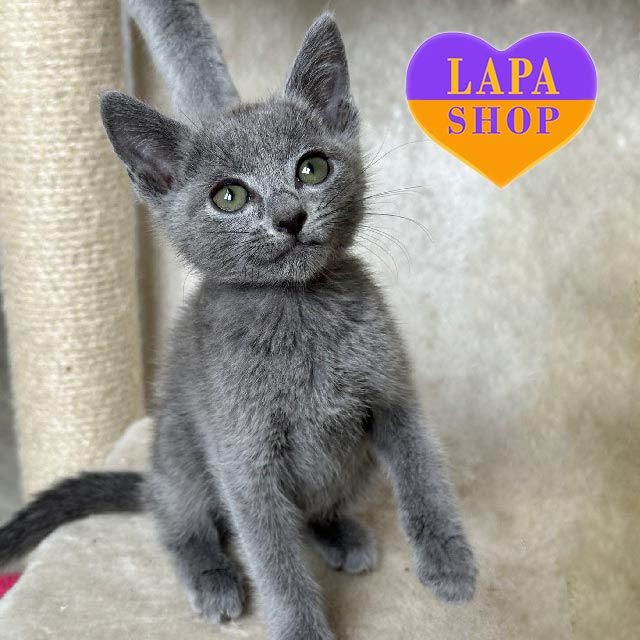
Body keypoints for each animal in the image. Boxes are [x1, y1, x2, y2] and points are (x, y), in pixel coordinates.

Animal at [0, 2, 476, 639]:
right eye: (229, 197)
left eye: (312, 168)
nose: (290, 216)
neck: (296, 311)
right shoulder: (241, 455)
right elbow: (273, 556)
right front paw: (301, 628)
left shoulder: (391, 395)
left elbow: (423, 472)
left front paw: (449, 563)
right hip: (180, 454)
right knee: (179, 522)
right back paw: (212, 576)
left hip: (352, 466)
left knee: (312, 509)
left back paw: (338, 533)